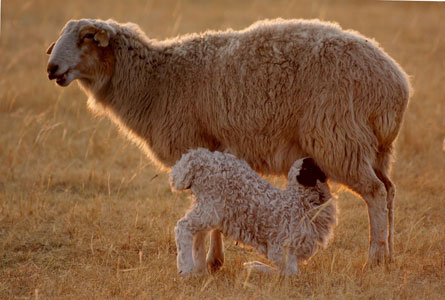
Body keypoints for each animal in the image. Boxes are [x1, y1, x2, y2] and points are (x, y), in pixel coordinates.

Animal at [168, 149, 334, 276]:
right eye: (312, 166)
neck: (300, 202)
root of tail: (195, 160)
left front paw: (252, 267)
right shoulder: (280, 248)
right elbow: (289, 274)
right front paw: (254, 267)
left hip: (207, 207)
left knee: (196, 233)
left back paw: (199, 270)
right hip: (212, 207)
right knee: (183, 226)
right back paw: (186, 270)